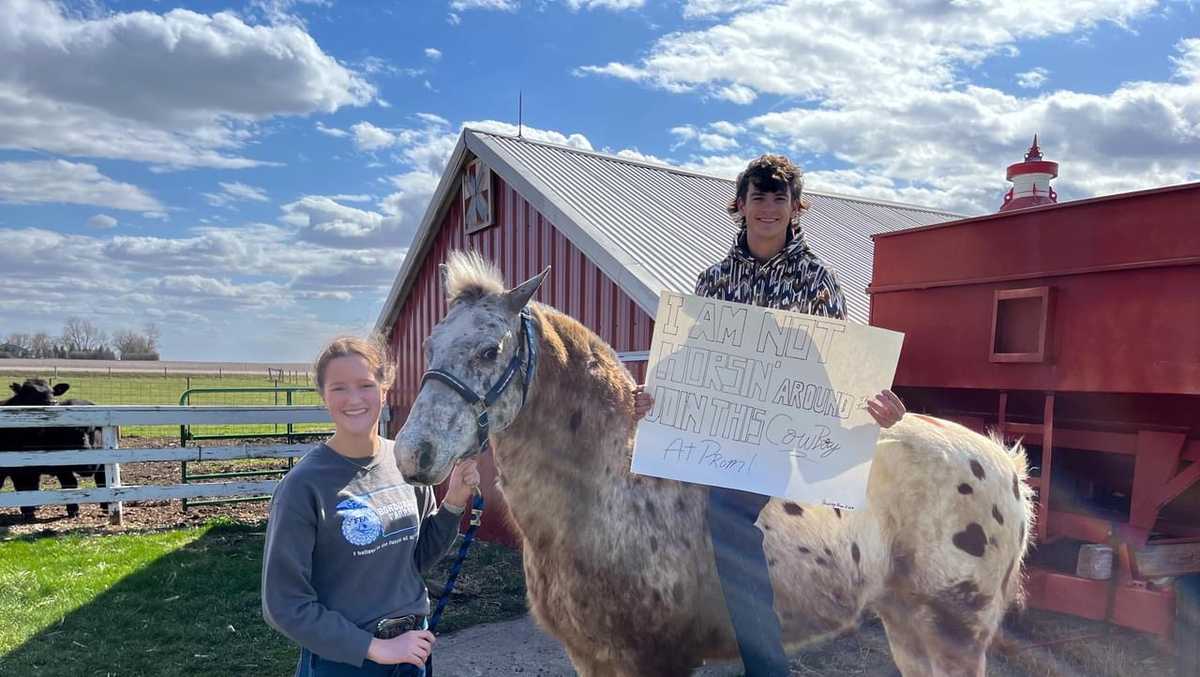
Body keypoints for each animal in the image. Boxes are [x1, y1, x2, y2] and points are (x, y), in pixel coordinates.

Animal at [1, 379, 106, 520]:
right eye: (29, 392)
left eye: (52, 392)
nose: (52, 402)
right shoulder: (22, 469)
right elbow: (68, 484)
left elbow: (102, 481)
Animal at [391, 250, 1032, 672]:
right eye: (428, 346)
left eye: (489, 349)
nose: (411, 453)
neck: (608, 489)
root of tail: (1004, 463)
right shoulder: (592, 657)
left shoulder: (658, 660)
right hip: (908, 623)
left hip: (954, 632)